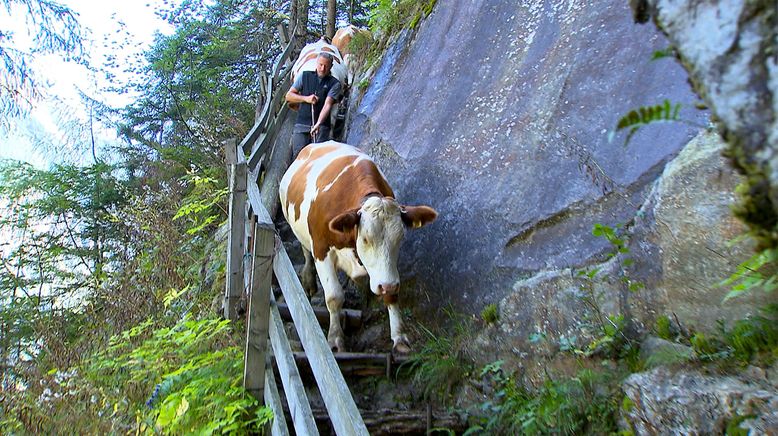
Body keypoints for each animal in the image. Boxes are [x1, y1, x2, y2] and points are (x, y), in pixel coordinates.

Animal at [278, 141, 436, 352]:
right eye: (366, 239)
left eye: (400, 238)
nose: (387, 285)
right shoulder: (321, 249)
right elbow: (334, 296)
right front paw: (335, 339)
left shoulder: (387, 270)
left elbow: (391, 296)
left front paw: (399, 337)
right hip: (296, 227)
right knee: (306, 253)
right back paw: (309, 281)